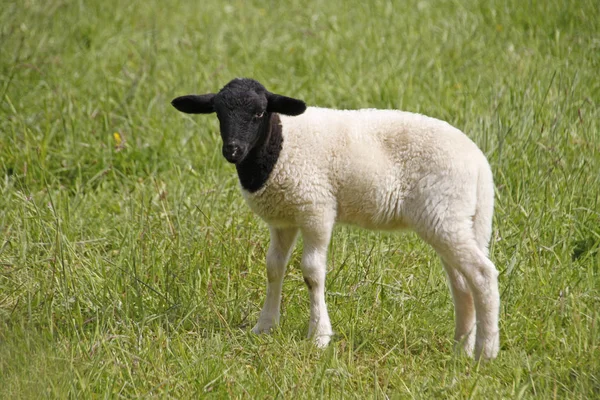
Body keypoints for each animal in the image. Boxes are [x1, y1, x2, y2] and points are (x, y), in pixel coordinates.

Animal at [171, 77, 500, 360]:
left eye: (259, 112)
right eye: (218, 114)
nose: (232, 151)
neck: (279, 144)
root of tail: (479, 163)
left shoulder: (316, 208)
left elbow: (312, 272)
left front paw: (319, 336)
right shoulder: (283, 218)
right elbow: (273, 268)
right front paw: (264, 327)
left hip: (444, 214)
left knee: (482, 274)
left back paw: (485, 352)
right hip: (453, 219)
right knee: (462, 283)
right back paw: (460, 348)